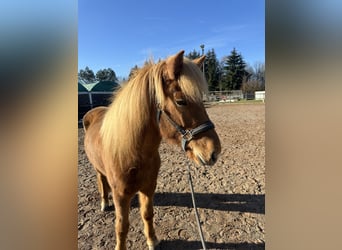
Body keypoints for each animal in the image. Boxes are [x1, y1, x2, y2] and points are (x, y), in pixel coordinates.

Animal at [83, 50, 222, 250]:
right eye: (181, 101)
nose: (214, 152)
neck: (133, 154)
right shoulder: (120, 196)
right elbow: (122, 226)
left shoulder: (149, 188)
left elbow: (147, 214)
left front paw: (152, 240)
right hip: (97, 169)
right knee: (101, 181)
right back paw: (104, 202)